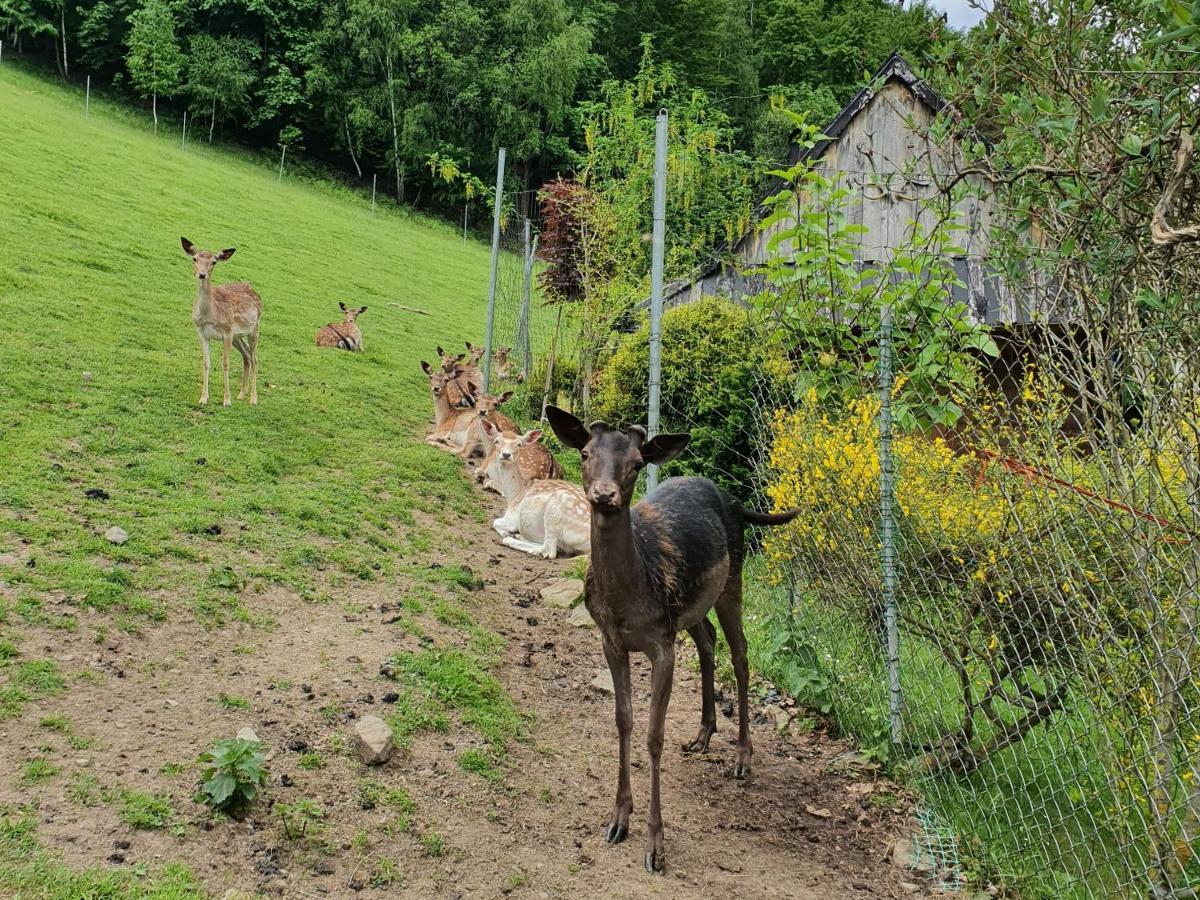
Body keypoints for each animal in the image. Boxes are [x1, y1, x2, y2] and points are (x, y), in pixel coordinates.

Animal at [181, 240, 261, 408]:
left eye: (214, 262)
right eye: (194, 259)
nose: (202, 274)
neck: (210, 315)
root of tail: (256, 292)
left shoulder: (227, 332)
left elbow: (225, 363)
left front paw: (227, 400)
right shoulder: (202, 333)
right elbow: (206, 362)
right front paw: (203, 398)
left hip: (254, 329)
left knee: (255, 358)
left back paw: (253, 399)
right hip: (238, 336)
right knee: (246, 354)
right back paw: (241, 393)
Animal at [480, 422, 588, 561]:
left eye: (519, 444)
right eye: (497, 441)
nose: (506, 455)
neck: (514, 493)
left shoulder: (512, 518)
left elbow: (495, 522)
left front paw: (507, 533)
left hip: (556, 510)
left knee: (548, 551)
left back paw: (511, 539)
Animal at [544, 408, 796, 873]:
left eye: (636, 463)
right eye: (585, 453)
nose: (604, 494)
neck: (628, 601)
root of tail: (735, 501)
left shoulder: (661, 643)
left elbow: (654, 735)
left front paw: (655, 847)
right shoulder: (611, 639)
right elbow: (623, 720)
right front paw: (617, 821)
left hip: (732, 580)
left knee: (741, 655)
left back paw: (741, 757)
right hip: (691, 609)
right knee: (708, 640)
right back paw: (703, 735)